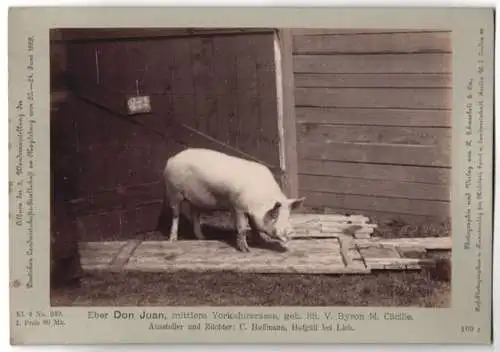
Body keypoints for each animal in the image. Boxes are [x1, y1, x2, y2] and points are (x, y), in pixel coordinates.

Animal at [164, 147, 304, 252]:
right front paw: (246, 250)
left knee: (195, 215)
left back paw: (202, 238)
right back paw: (173, 239)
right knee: (175, 215)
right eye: (273, 215)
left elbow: (254, 226)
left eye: (288, 215)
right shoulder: (238, 207)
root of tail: (172, 159)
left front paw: (261, 241)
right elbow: (242, 228)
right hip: (173, 192)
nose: (291, 232)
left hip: (196, 200)